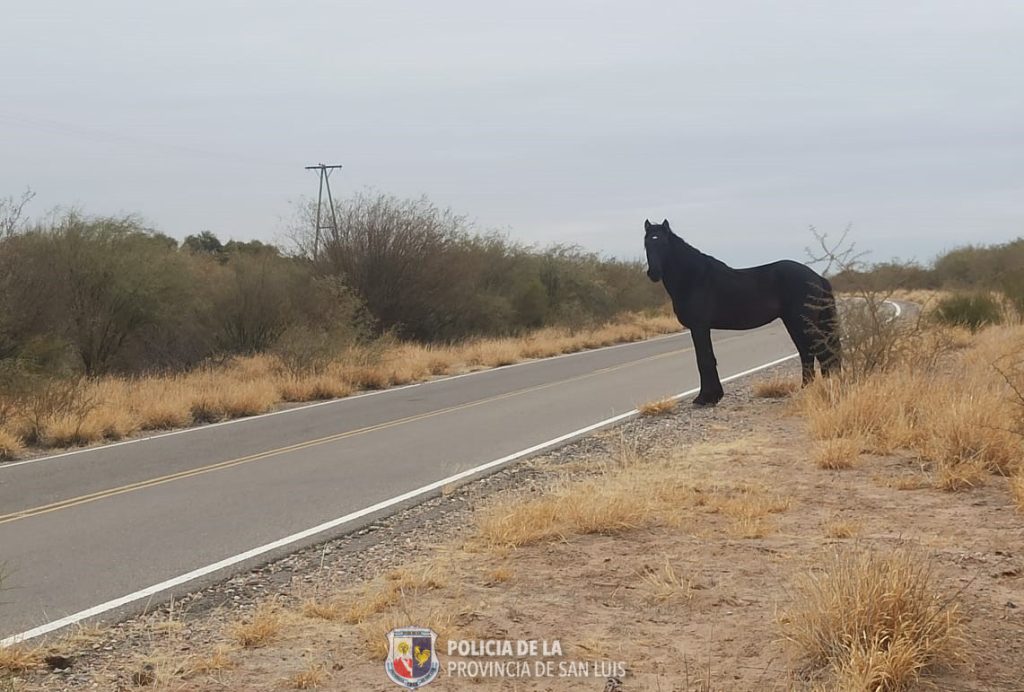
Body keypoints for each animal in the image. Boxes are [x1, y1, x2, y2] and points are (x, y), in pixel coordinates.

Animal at [643, 219, 841, 406]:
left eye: (663, 243)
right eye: (646, 244)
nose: (654, 273)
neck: (693, 278)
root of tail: (818, 277)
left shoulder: (699, 327)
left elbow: (704, 360)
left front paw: (705, 398)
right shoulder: (701, 328)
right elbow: (707, 358)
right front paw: (712, 396)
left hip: (801, 321)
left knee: (822, 352)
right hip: (796, 323)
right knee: (808, 353)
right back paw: (806, 389)